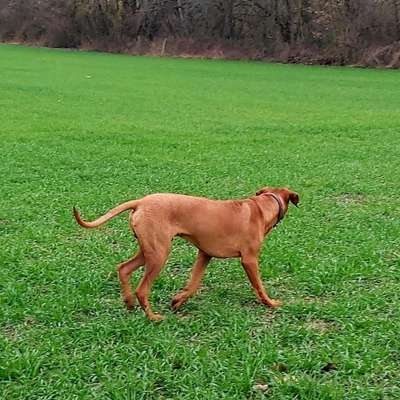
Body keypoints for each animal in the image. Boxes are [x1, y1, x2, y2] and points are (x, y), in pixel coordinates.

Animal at [72, 186, 298, 320]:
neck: (262, 206)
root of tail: (141, 201)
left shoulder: (204, 255)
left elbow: (193, 285)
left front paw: (177, 301)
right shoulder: (249, 260)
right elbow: (259, 286)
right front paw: (271, 303)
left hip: (149, 250)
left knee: (123, 269)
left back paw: (128, 303)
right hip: (160, 253)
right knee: (142, 289)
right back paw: (152, 317)